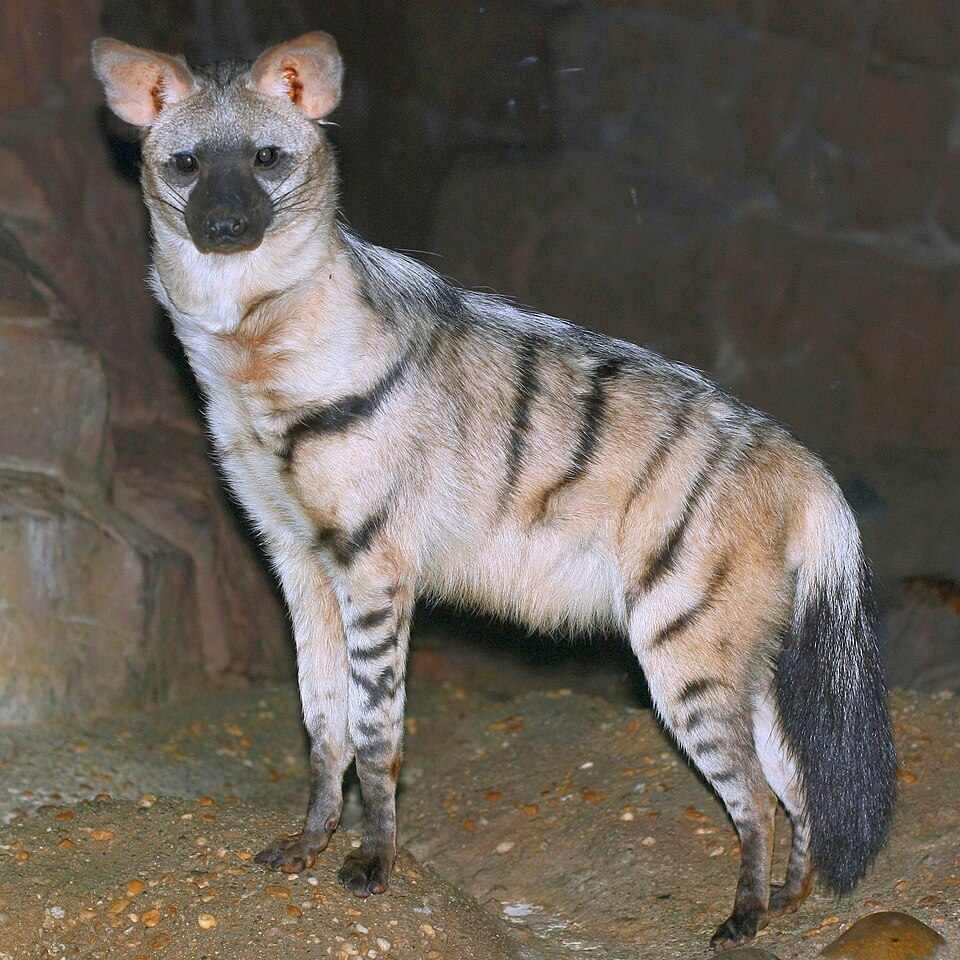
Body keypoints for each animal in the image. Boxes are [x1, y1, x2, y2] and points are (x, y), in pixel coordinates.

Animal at [92, 31, 897, 949]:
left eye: (266, 159)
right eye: (187, 165)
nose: (226, 224)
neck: (251, 357)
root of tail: (799, 461)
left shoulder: (374, 563)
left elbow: (375, 726)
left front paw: (372, 862)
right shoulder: (296, 558)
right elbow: (320, 720)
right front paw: (306, 844)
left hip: (682, 641)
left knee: (755, 789)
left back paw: (744, 916)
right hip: (736, 641)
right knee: (791, 771)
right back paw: (791, 898)